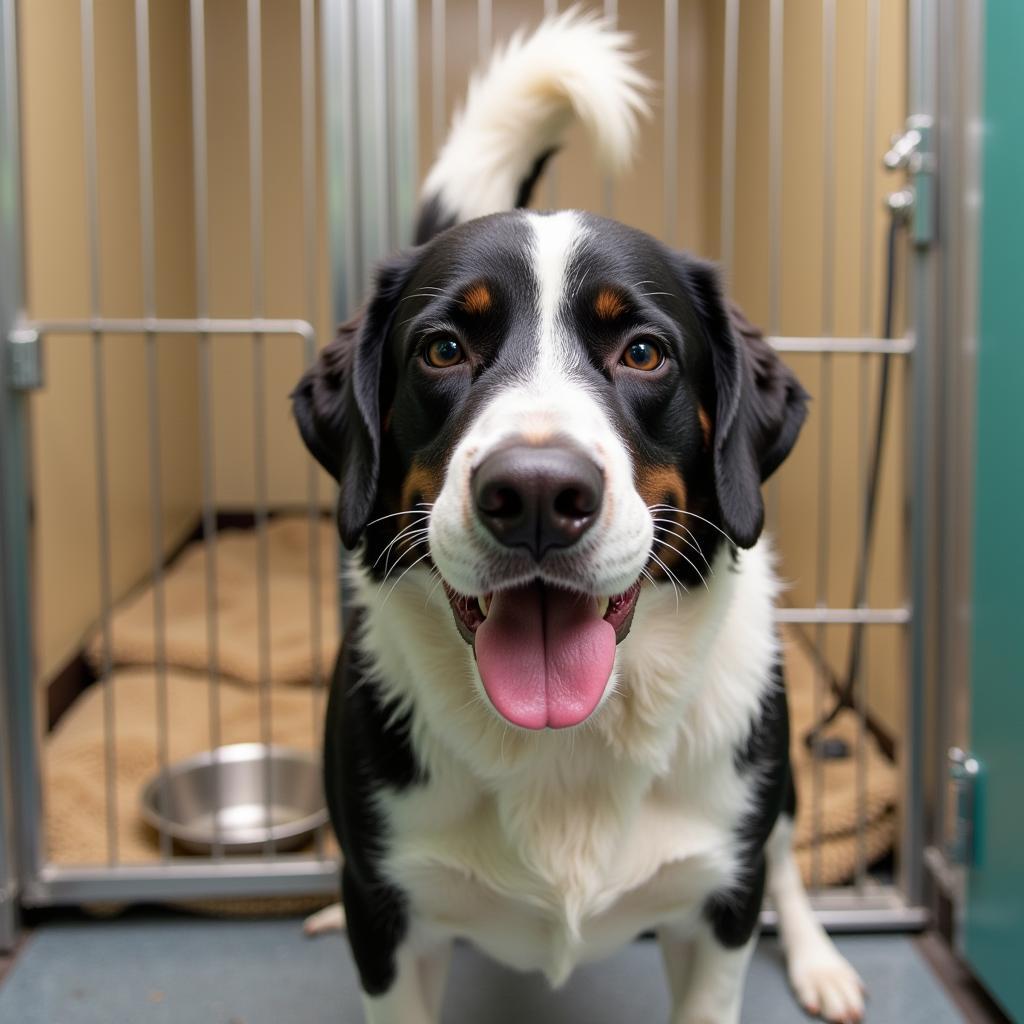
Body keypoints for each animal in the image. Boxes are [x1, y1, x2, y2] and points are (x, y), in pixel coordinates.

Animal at [294, 9, 864, 1024]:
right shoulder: (390, 925)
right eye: (444, 348)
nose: (534, 494)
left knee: (790, 858)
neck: (563, 749)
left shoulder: (717, 908)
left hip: (778, 778)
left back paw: (819, 959)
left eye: (642, 352)